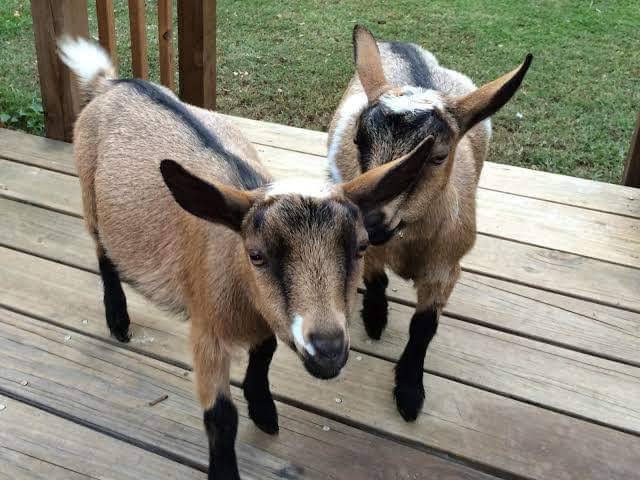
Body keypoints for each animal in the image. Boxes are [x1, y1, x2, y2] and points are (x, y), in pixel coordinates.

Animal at [59, 37, 434, 479]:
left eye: (360, 247)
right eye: (256, 255)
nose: (327, 349)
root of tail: (109, 84)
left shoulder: (266, 318)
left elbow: (264, 354)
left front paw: (263, 409)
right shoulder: (205, 330)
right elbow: (221, 417)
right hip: (90, 197)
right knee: (103, 255)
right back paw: (118, 320)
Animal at [327, 26, 532, 421]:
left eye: (438, 156)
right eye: (359, 140)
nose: (369, 220)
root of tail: (401, 45)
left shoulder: (446, 270)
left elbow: (423, 327)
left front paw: (409, 392)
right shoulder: (371, 247)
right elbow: (376, 278)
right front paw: (375, 318)